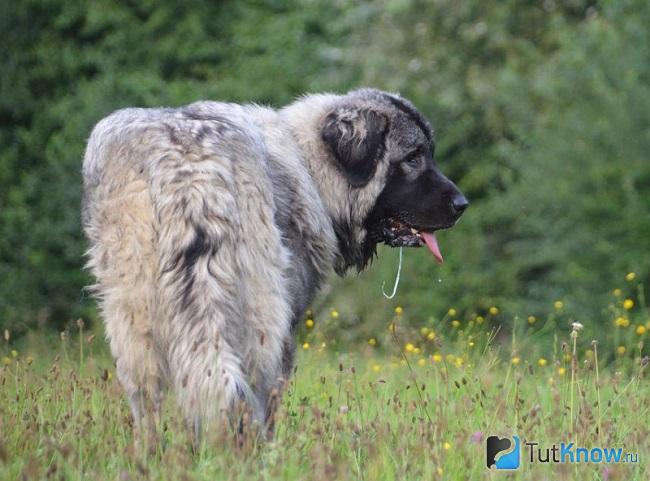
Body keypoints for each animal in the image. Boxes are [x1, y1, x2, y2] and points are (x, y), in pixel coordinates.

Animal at [81, 88, 466, 440]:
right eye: (413, 158)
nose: (462, 204)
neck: (309, 164)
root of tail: (186, 158)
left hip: (132, 311)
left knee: (151, 399)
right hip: (259, 313)